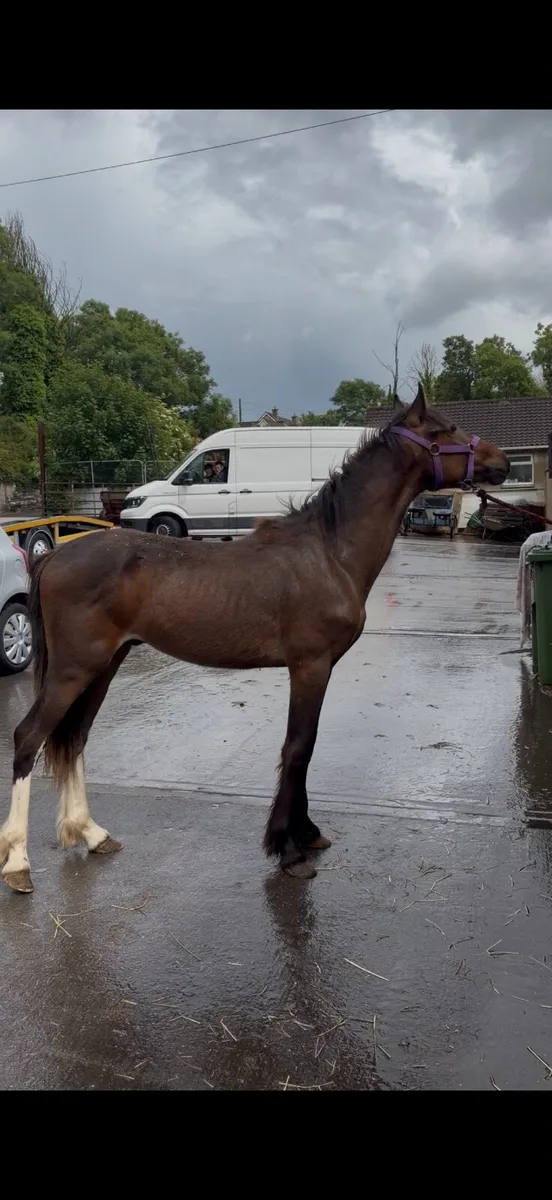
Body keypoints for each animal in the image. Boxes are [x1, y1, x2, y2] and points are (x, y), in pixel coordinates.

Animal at [0, 385, 509, 894]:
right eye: (445, 430)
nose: (501, 462)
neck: (330, 552)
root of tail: (53, 557)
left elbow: (305, 746)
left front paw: (306, 834)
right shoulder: (310, 665)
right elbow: (299, 747)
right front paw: (290, 849)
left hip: (104, 665)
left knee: (75, 738)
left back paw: (90, 832)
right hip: (74, 669)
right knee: (29, 738)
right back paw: (18, 862)